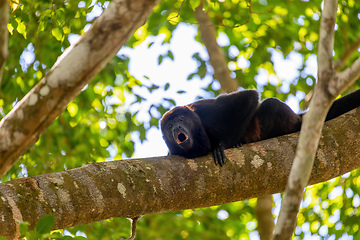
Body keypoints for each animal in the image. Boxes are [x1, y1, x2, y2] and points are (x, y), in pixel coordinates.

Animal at [162, 89, 360, 166]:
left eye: (181, 118)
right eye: (169, 125)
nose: (176, 127)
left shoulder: (204, 110)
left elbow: (248, 97)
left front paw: (221, 146)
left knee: (271, 105)